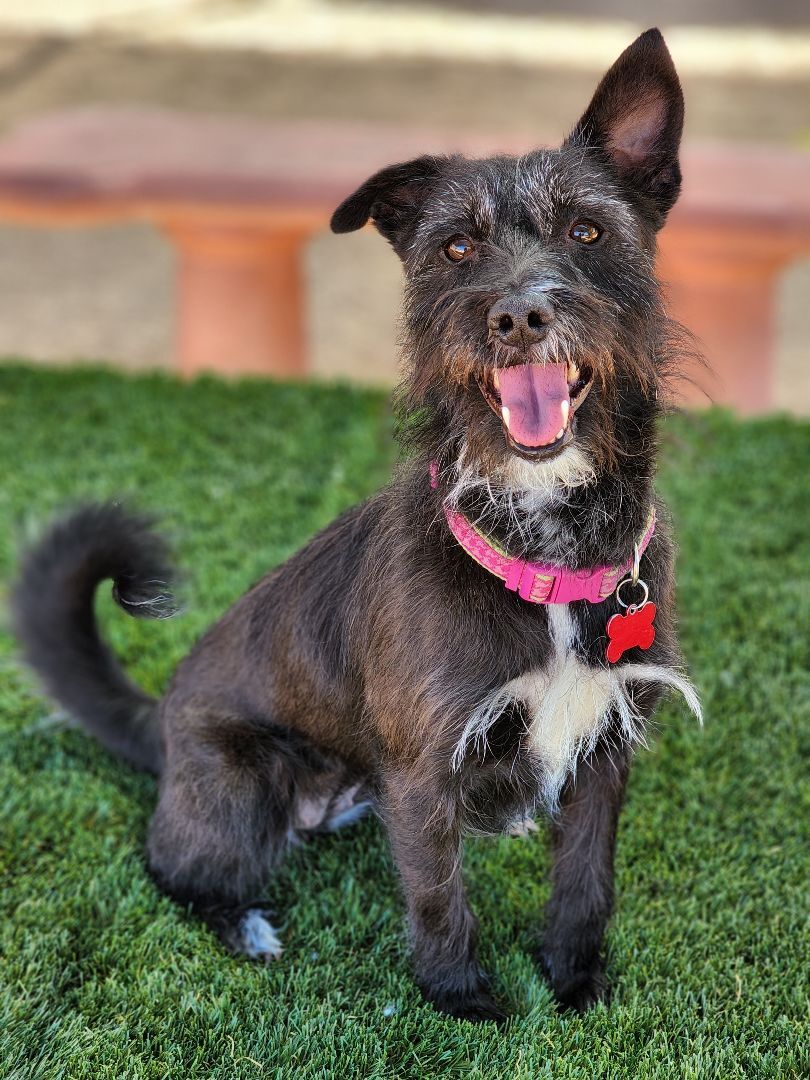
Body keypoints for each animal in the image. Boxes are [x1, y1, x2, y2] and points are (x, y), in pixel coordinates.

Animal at [11, 25, 704, 1019]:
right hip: (241, 786)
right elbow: (437, 893)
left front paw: (573, 980)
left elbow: (586, 878)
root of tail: (163, 725)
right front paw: (464, 1002)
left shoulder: (605, 751)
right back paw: (246, 926)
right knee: (172, 869)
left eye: (587, 231)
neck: (543, 546)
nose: (517, 315)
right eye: (455, 248)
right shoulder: (421, 772)